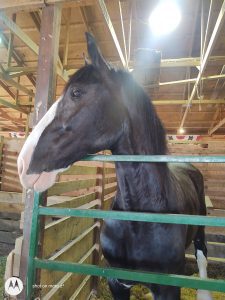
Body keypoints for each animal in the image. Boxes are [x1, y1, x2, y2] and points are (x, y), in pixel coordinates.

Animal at [17, 33, 211, 300]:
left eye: (76, 92)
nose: (22, 163)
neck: (139, 216)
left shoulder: (167, 288)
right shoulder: (118, 282)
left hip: (201, 230)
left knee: (202, 258)